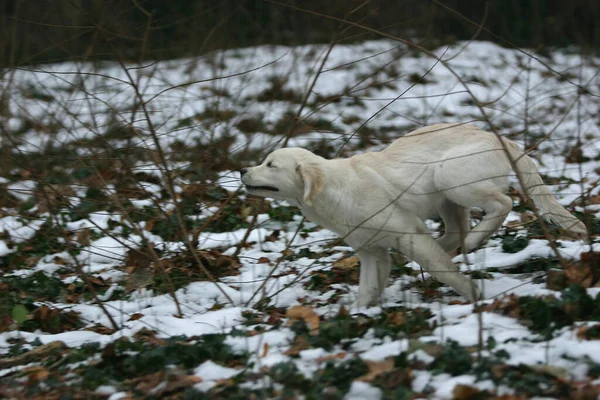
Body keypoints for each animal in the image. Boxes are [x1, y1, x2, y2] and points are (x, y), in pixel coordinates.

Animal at [239, 123, 584, 304]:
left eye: (270, 164)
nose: (242, 170)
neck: (336, 190)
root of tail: (498, 137)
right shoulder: (372, 251)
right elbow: (367, 288)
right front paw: (361, 312)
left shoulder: (407, 233)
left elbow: (442, 270)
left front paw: (473, 295)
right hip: (445, 198)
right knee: (455, 231)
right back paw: (455, 245)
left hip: (449, 177)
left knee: (503, 203)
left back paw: (475, 240)